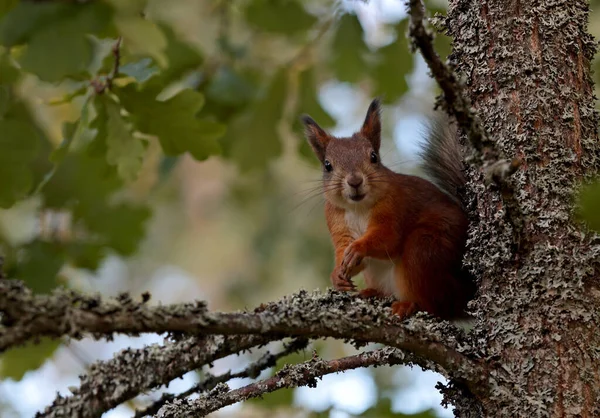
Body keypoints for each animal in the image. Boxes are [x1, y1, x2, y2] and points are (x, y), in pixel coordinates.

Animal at [302, 98, 476, 320]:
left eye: (373, 157)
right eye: (327, 165)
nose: (355, 181)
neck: (358, 207)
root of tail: (466, 291)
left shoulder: (395, 206)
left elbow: (389, 238)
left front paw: (359, 247)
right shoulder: (336, 221)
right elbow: (346, 253)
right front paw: (337, 275)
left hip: (425, 250)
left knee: (440, 306)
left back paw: (410, 304)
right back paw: (373, 292)